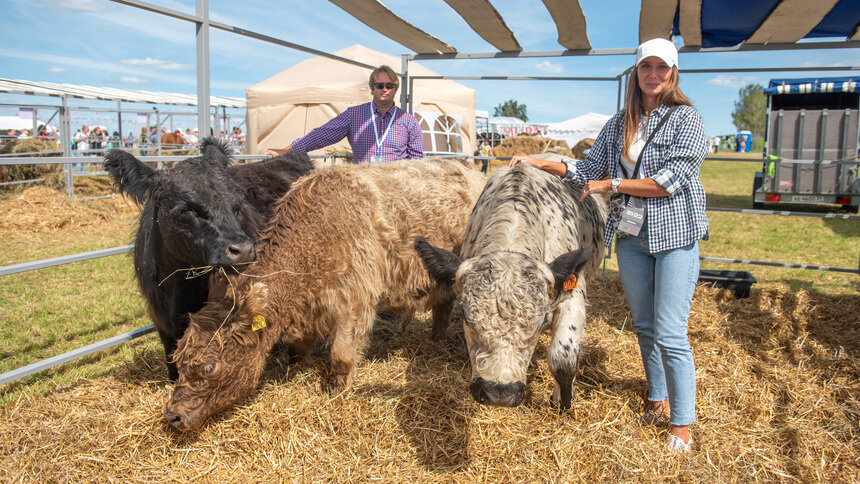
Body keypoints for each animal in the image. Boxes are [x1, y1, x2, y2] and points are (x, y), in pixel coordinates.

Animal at [165, 158, 488, 432]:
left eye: (209, 367)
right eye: (178, 363)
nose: (172, 415)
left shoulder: (355, 303)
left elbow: (341, 358)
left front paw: (337, 396)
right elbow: (296, 350)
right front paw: (292, 369)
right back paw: (436, 339)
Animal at [414, 162, 604, 408]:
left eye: (540, 323)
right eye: (466, 318)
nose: (500, 393)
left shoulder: (572, 295)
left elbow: (563, 359)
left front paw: (562, 400)